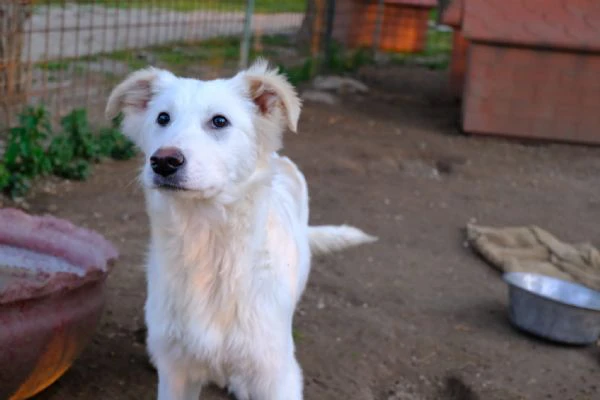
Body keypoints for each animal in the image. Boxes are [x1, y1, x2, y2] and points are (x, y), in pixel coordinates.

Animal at [104, 60, 376, 400]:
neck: (207, 245)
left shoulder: (277, 375)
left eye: (219, 121)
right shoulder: (176, 374)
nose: (163, 161)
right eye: (162, 118)